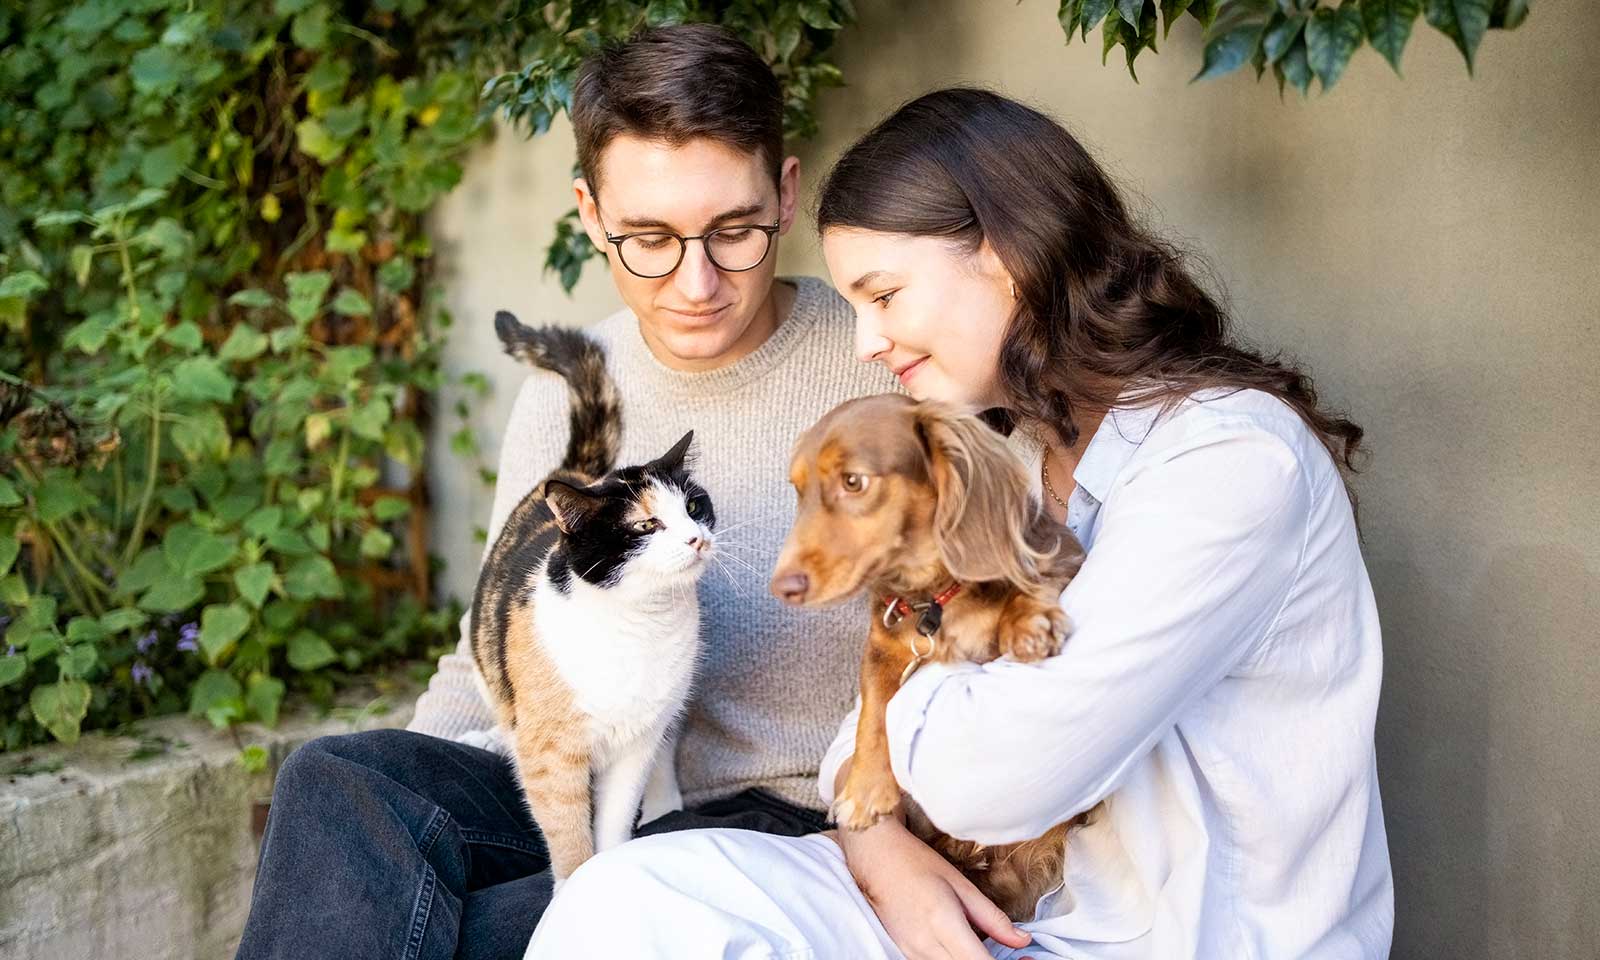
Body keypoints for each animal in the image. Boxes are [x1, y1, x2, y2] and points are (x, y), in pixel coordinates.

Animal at [464, 313, 713, 883]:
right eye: (646, 525)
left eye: (694, 507)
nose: (696, 539)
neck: (642, 624)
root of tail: (573, 475)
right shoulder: (552, 756)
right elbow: (568, 833)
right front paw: (573, 886)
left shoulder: (636, 746)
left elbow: (616, 819)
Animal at [768, 392, 1094, 921]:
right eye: (799, 490)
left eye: (853, 481)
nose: (781, 587)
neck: (935, 594)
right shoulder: (882, 649)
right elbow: (874, 714)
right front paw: (865, 792)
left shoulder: (1060, 564)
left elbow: (1028, 588)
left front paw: (1026, 618)